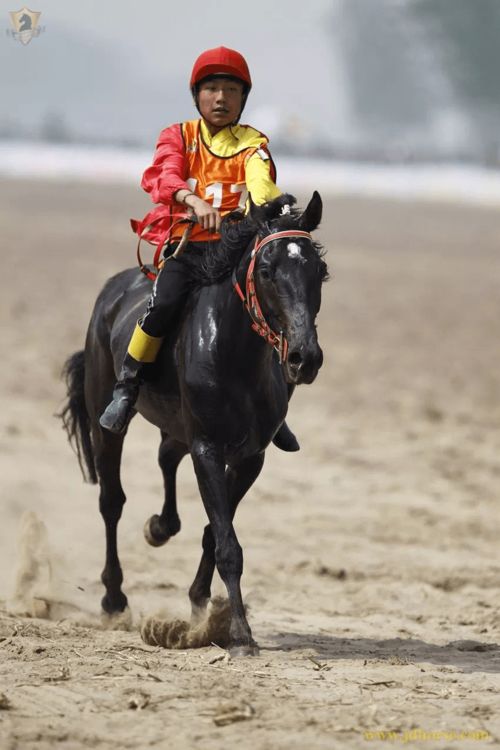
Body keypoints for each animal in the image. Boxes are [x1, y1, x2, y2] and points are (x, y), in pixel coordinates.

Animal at [60, 191, 328, 655]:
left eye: (321, 273)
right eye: (267, 271)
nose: (303, 359)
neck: (236, 355)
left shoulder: (250, 457)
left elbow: (214, 531)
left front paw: (201, 604)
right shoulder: (207, 447)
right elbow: (228, 544)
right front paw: (239, 635)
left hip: (176, 428)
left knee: (166, 457)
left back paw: (159, 527)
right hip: (104, 422)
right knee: (111, 501)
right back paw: (114, 599)